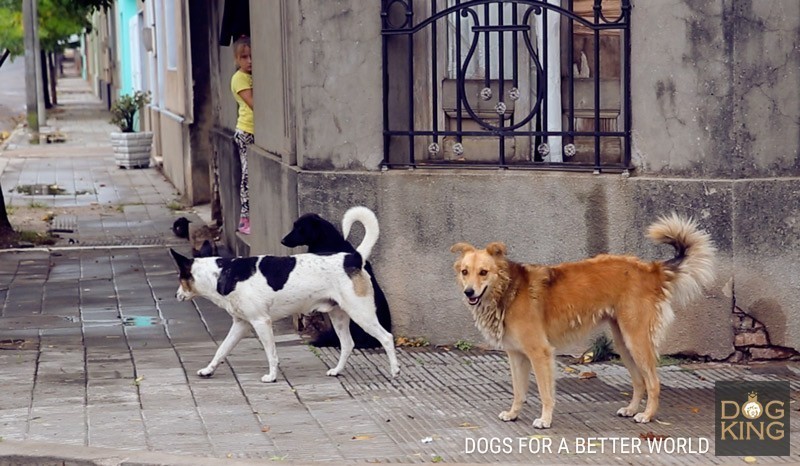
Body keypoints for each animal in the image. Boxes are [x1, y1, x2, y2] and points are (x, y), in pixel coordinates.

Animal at [167, 206, 398, 380]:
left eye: (180, 279)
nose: (176, 295)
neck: (222, 273)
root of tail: (353, 257)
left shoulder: (261, 322)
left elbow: (271, 353)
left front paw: (271, 376)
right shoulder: (241, 324)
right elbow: (221, 349)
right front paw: (208, 370)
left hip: (361, 313)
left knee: (386, 337)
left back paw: (395, 370)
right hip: (339, 316)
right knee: (348, 344)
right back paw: (337, 371)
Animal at [450, 215, 720, 430]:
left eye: (483, 272)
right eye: (465, 272)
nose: (469, 292)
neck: (508, 290)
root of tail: (651, 270)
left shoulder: (540, 353)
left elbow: (545, 392)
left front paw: (545, 420)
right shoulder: (516, 355)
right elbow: (519, 391)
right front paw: (513, 414)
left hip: (637, 340)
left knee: (653, 382)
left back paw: (647, 415)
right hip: (623, 343)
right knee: (639, 381)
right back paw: (632, 409)